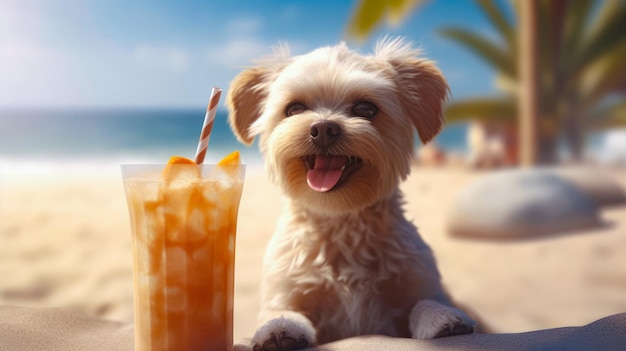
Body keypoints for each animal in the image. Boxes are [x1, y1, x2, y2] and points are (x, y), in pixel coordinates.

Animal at [224, 37, 472, 350]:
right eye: (294, 109)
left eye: (365, 109)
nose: (323, 128)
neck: (339, 219)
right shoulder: (286, 289)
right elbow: (282, 311)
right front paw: (278, 328)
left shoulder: (418, 281)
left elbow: (423, 302)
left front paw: (440, 317)